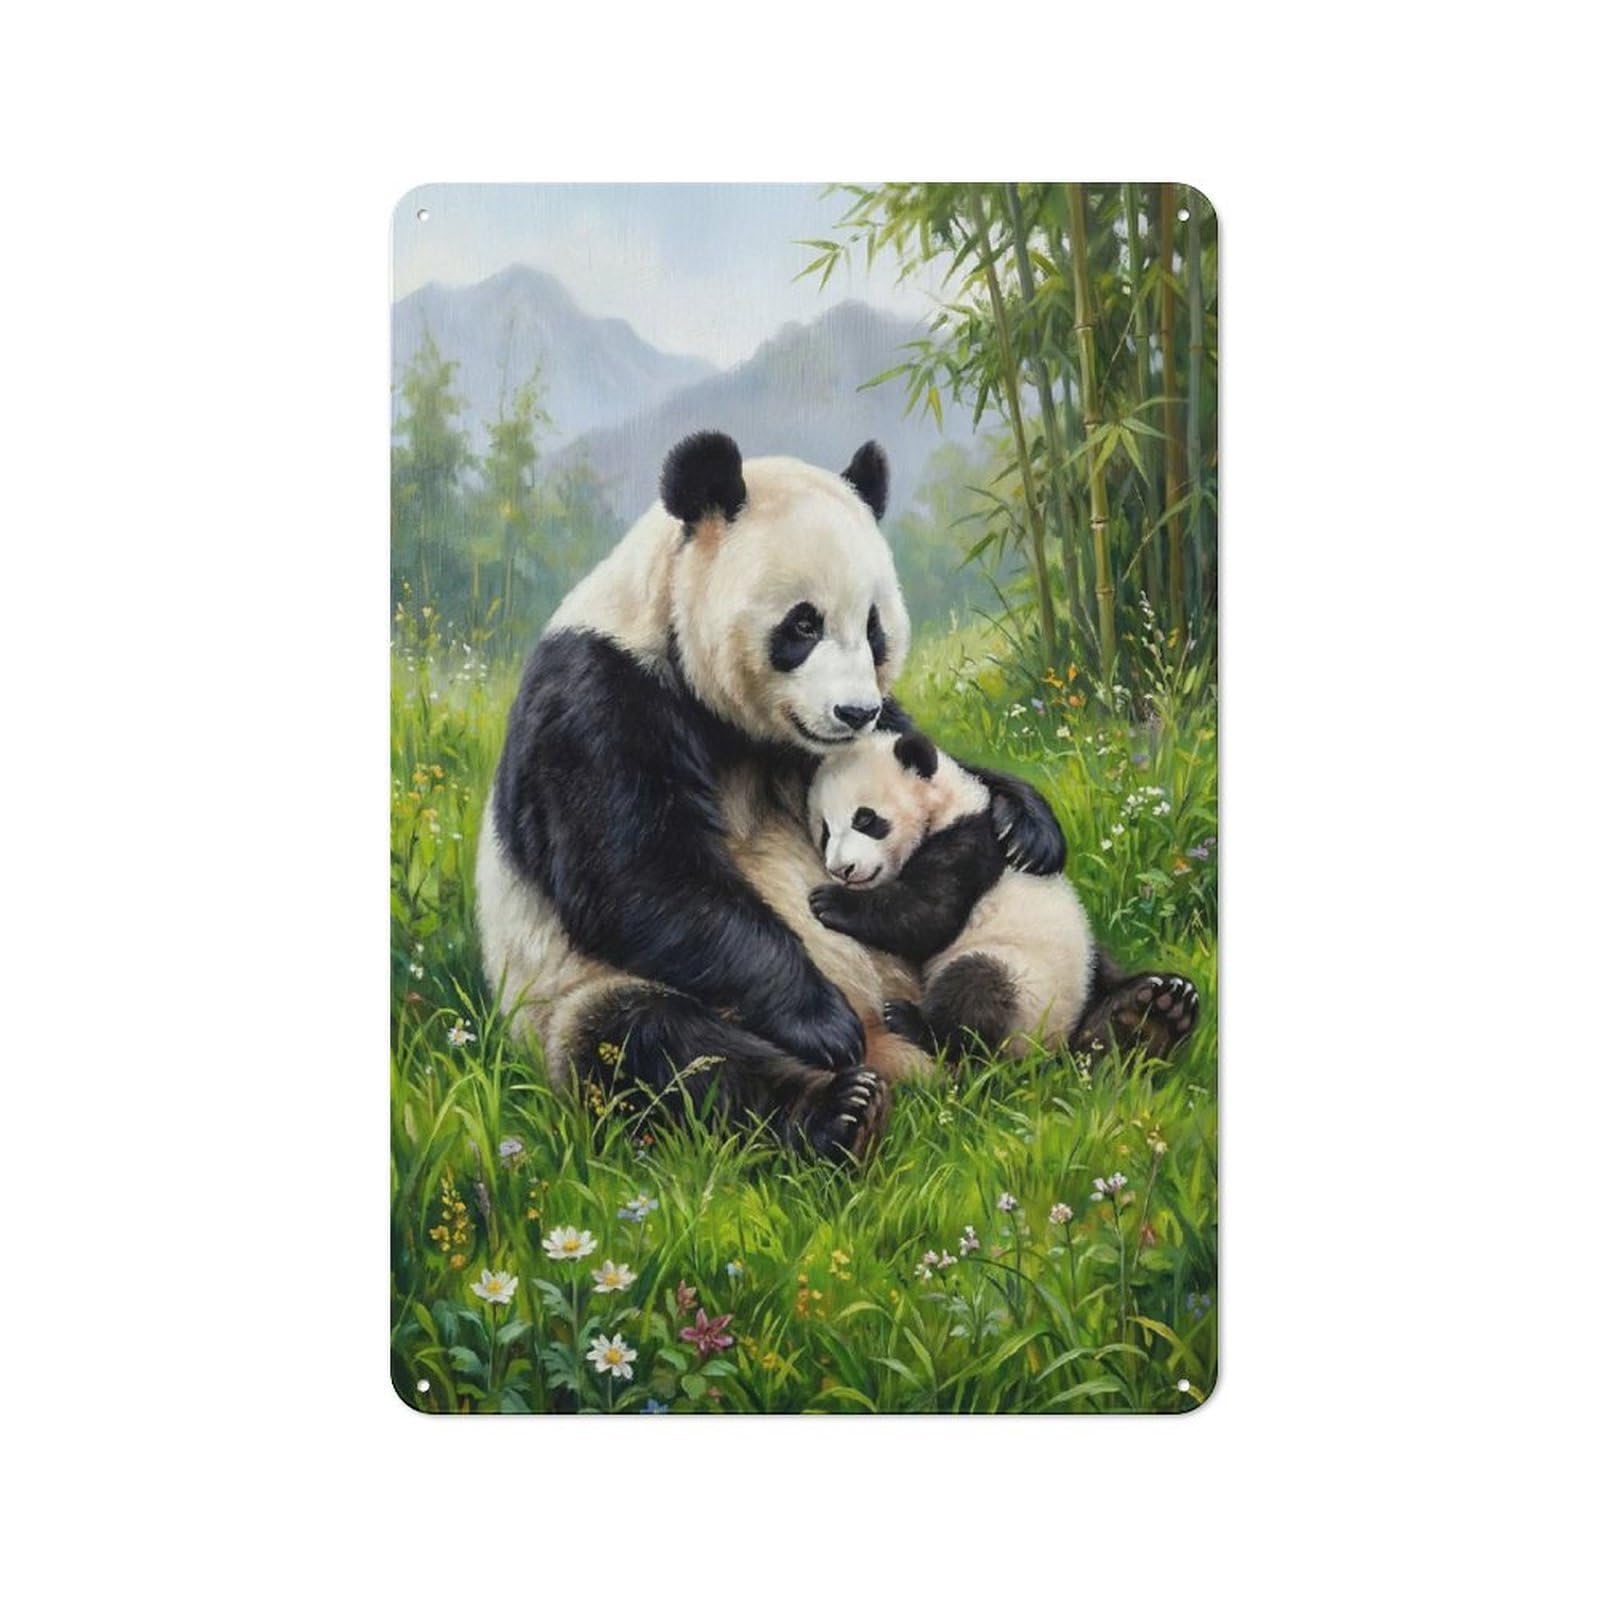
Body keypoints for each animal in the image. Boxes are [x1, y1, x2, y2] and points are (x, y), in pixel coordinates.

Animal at [476, 431, 1067, 1162]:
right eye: (803, 625)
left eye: (873, 627)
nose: (855, 711)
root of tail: (903, 1061)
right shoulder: (596, 699)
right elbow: (635, 875)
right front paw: (820, 1020)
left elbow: (923, 758)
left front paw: (1027, 824)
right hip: (571, 998)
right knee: (657, 1047)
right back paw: (839, 1107)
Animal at [806, 729, 1200, 1062]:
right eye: (825, 832)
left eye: (865, 819)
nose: (842, 870)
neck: (950, 803)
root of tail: (1049, 1047)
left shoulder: (971, 842)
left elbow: (926, 916)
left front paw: (830, 902)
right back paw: (1151, 1011)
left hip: (1024, 983)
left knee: (976, 990)